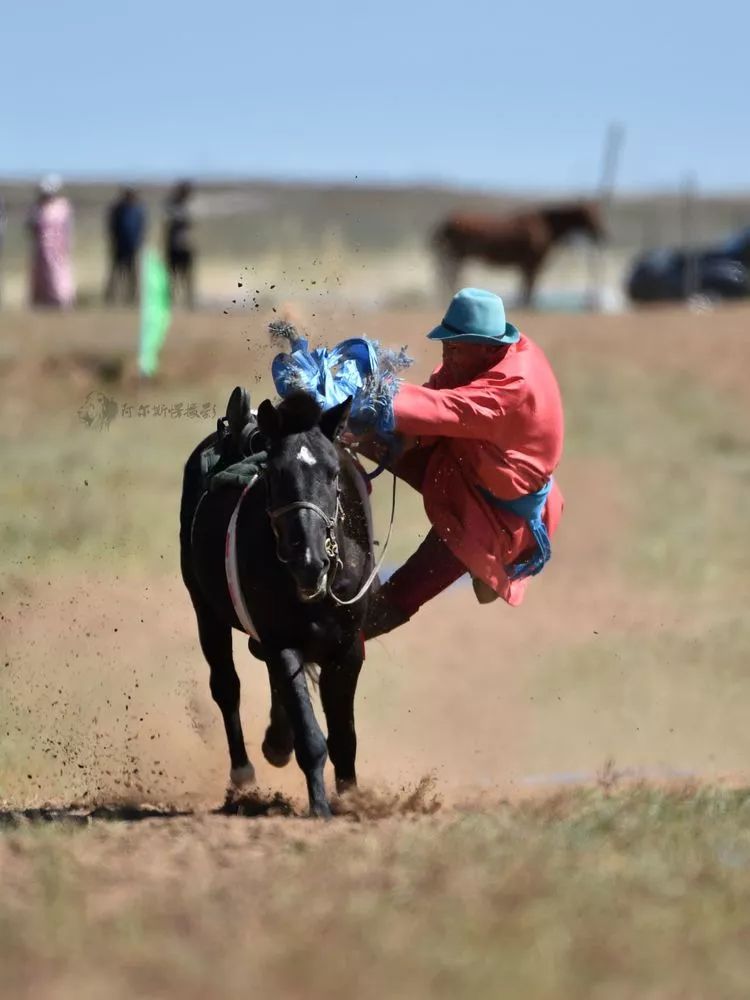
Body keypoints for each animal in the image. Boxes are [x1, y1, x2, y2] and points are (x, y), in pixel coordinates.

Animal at [179, 386, 374, 816]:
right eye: (277, 474)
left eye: (333, 473)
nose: (308, 560)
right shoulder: (281, 639)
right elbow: (312, 736)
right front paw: (320, 807)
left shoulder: (347, 648)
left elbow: (345, 736)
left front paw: (352, 798)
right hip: (205, 609)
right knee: (226, 685)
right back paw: (244, 771)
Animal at [434, 201, 604, 306]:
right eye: (589, 214)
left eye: (597, 213)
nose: (601, 234)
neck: (545, 224)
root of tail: (445, 223)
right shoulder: (532, 263)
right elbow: (530, 286)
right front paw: (527, 305)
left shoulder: (526, 264)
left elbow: (525, 285)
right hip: (456, 256)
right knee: (450, 276)